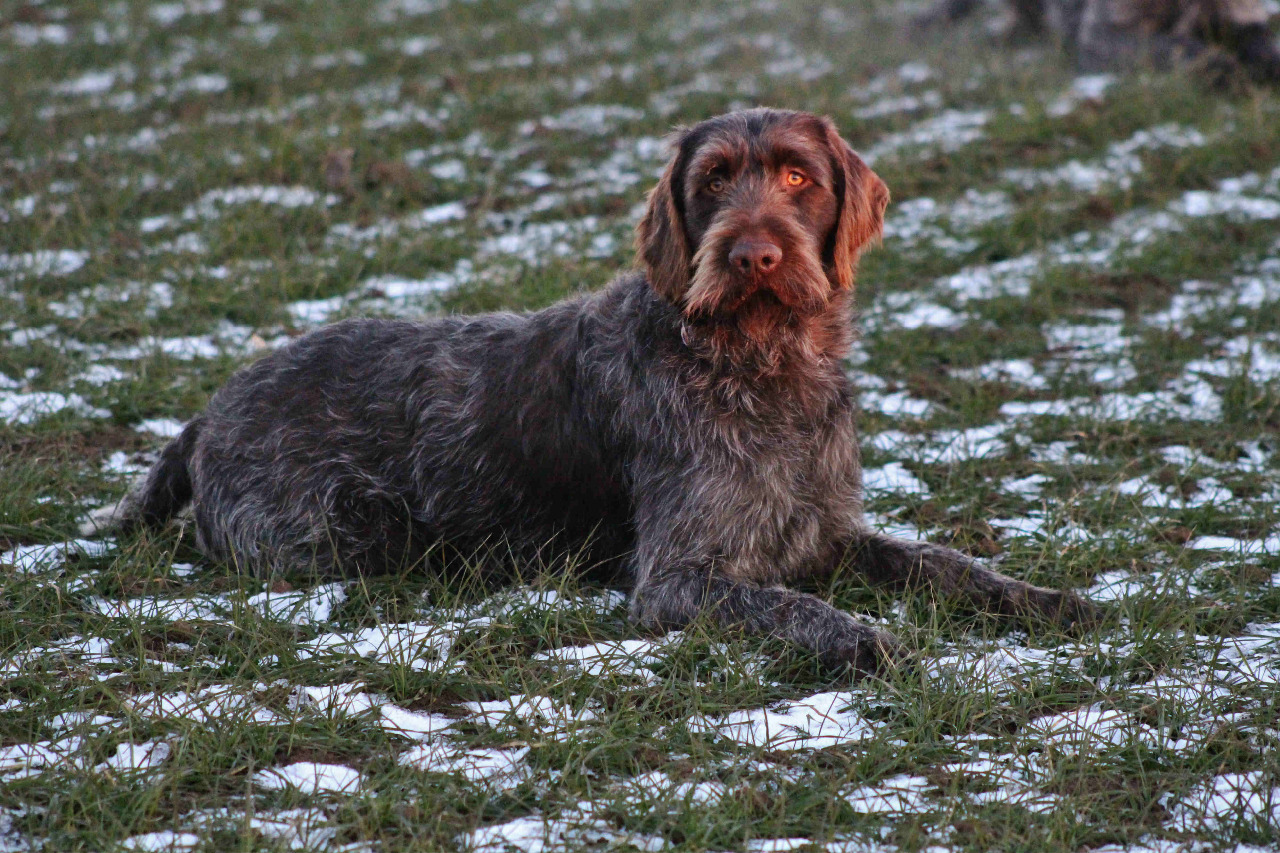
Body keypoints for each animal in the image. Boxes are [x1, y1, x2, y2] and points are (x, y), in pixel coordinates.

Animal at [98, 108, 1099, 676]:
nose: (753, 253)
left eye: (797, 176)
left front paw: (1044, 599)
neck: (760, 364)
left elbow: (944, 562)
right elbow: (790, 606)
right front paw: (861, 639)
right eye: (712, 181)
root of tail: (209, 411)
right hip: (352, 532)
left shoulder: (822, 531)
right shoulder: (680, 580)